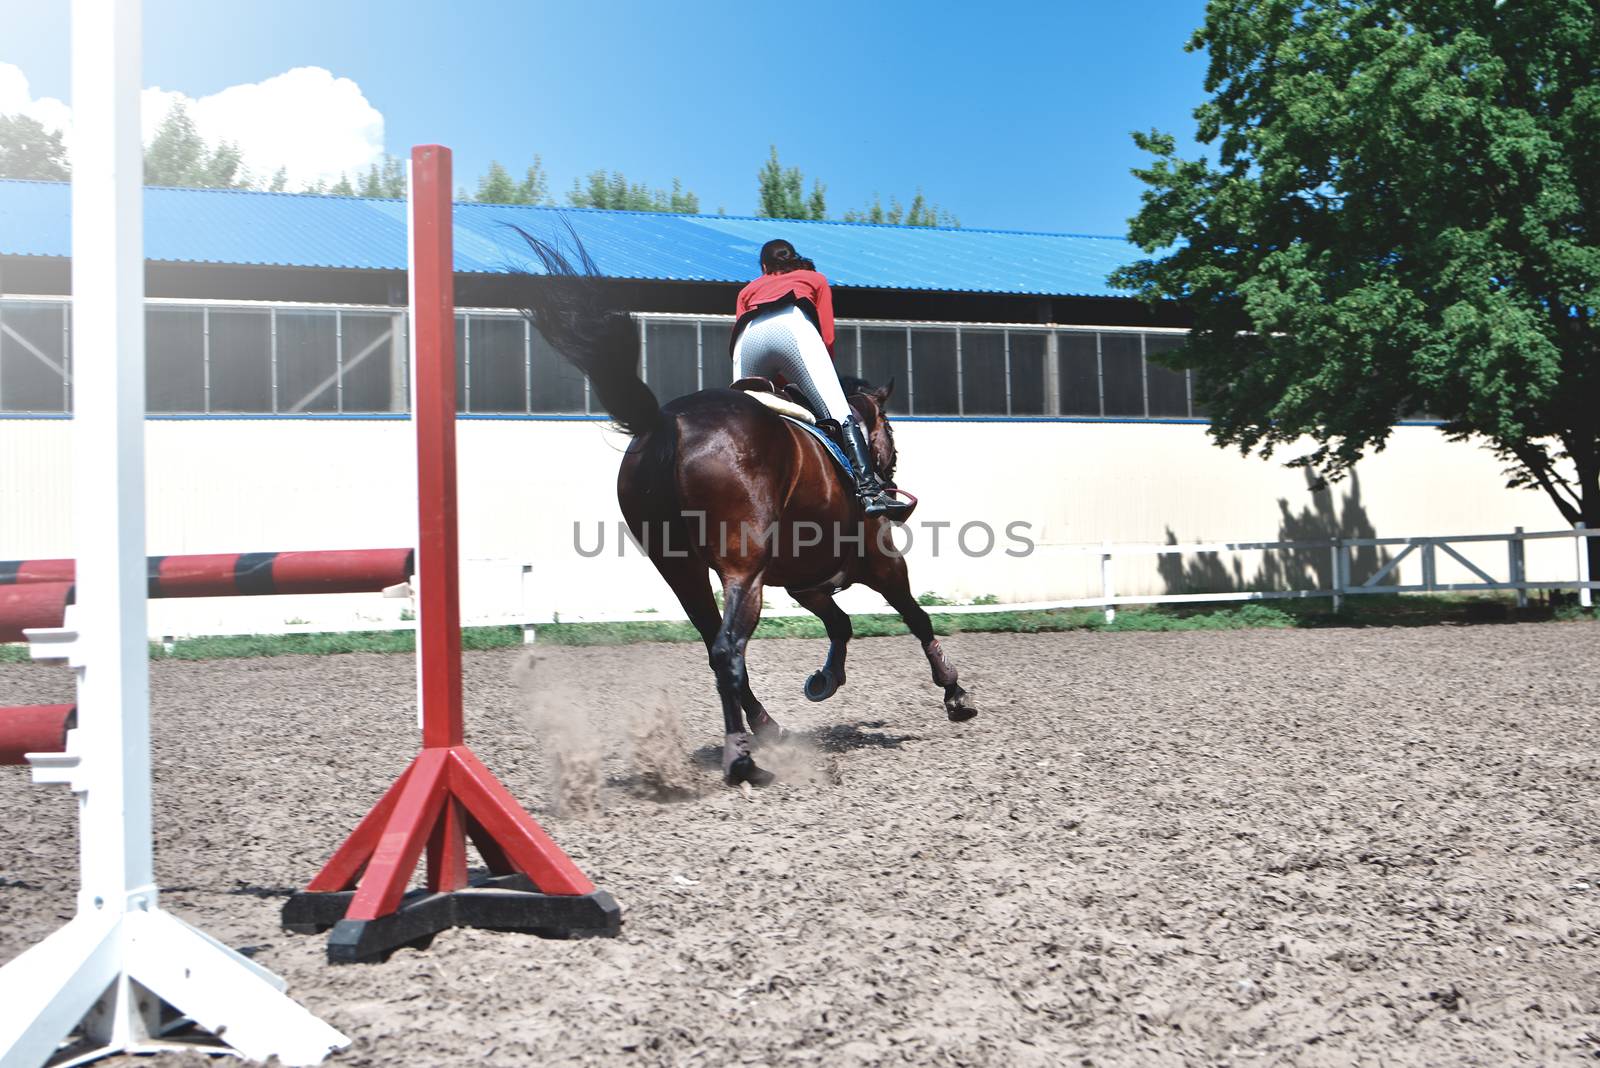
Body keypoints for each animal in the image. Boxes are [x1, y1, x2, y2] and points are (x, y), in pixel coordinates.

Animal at [518, 231, 979, 783]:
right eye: (891, 434)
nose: (888, 479)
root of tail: (666, 423)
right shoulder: (881, 561)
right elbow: (917, 617)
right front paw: (955, 693)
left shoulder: (806, 580)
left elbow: (842, 624)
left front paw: (824, 680)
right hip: (743, 570)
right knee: (727, 649)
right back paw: (742, 757)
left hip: (682, 570)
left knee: (716, 647)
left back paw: (765, 730)